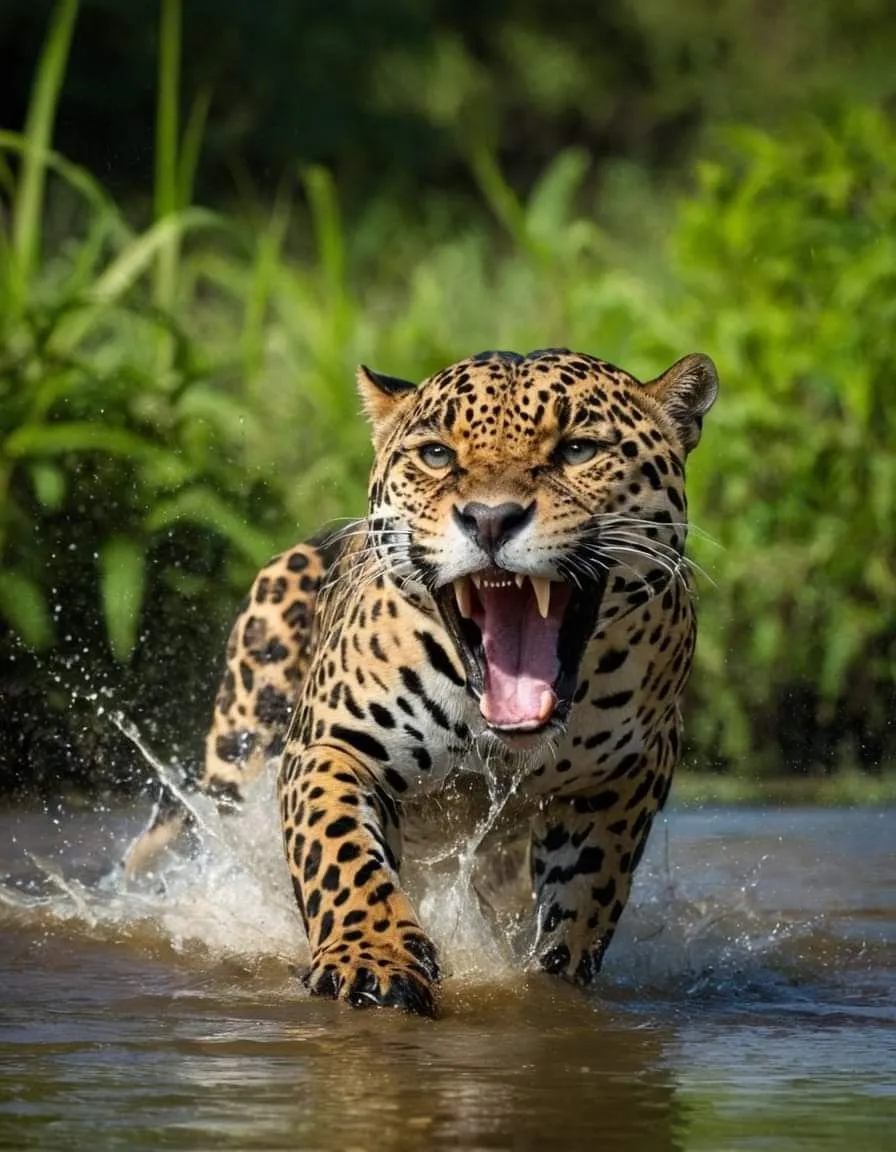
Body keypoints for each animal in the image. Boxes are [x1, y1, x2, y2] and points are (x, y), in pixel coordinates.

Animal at [126, 347, 718, 1018]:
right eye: (437, 455)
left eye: (577, 450)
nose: (490, 519)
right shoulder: (332, 746)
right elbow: (340, 854)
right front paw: (372, 960)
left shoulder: (624, 776)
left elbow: (588, 893)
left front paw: (554, 980)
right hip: (239, 750)